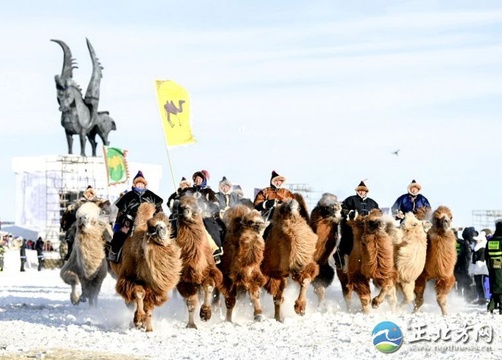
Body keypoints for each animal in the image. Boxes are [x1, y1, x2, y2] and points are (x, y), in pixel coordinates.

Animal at [108, 202, 182, 332]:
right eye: (151, 227)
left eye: (168, 225)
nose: (161, 229)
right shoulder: (129, 278)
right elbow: (139, 294)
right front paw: (138, 320)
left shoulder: (152, 286)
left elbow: (149, 305)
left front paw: (148, 327)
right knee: (130, 301)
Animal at [176, 195, 225, 328]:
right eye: (179, 205)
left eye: (195, 205)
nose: (184, 210)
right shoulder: (185, 280)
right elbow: (191, 302)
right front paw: (191, 325)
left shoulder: (210, 271)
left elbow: (209, 287)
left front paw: (205, 314)